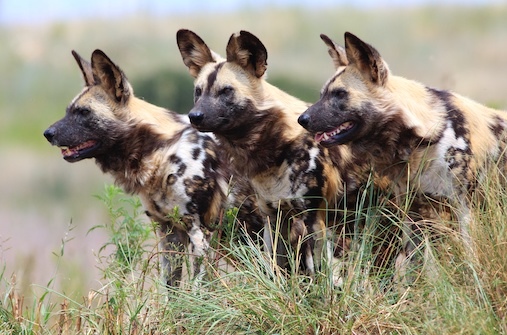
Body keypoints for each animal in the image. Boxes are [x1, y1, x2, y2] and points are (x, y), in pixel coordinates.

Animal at [43, 48, 262, 288]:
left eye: (83, 112)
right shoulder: (169, 234)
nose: (47, 134)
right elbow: (171, 291)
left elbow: (198, 291)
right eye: (68, 111)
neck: (162, 151)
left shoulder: (201, 235)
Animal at [177, 28, 376, 276]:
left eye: (226, 91)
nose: (194, 116)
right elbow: (277, 270)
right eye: (198, 91)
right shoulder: (274, 218)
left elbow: (321, 276)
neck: (276, 147)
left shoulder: (313, 219)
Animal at [300, 30, 507, 276]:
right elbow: (414, 269)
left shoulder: (464, 210)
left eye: (340, 94)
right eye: (322, 94)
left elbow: (470, 263)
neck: (421, 142)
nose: (302, 119)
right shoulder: (413, 216)